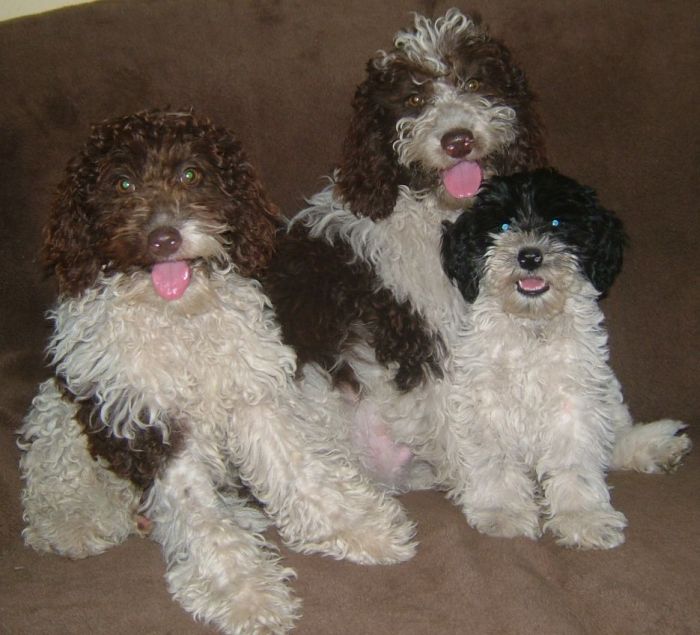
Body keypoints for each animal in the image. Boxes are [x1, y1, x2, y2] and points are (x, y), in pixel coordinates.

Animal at [17, 109, 416, 635]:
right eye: (121, 183)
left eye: (191, 174)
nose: (164, 237)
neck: (180, 317)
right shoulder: (147, 420)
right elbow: (195, 511)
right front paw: (244, 592)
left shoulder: (253, 392)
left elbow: (296, 467)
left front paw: (357, 527)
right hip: (63, 401)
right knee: (54, 463)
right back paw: (74, 521)